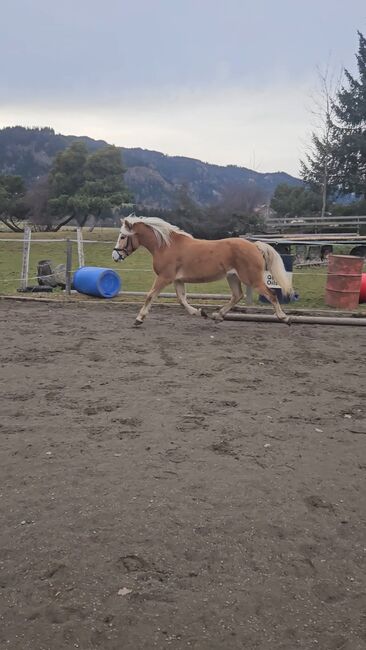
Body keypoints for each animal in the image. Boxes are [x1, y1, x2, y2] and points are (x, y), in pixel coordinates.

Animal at [111, 215, 292, 324]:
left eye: (123, 236)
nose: (115, 256)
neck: (166, 246)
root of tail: (255, 246)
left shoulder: (164, 277)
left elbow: (150, 295)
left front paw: (139, 318)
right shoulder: (177, 280)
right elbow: (182, 300)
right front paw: (200, 312)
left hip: (251, 279)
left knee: (271, 294)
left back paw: (284, 317)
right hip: (232, 277)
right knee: (237, 295)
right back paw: (217, 315)